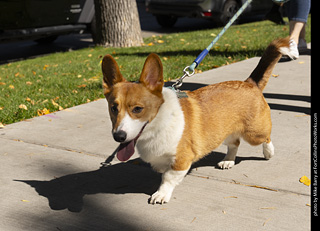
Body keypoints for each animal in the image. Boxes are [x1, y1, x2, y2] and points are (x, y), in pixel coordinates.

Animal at [101, 37, 292, 204]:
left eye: (137, 109)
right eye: (113, 108)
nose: (118, 137)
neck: (158, 123)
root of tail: (249, 83)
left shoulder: (182, 159)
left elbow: (168, 177)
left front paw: (161, 194)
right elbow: (161, 169)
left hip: (254, 133)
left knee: (265, 138)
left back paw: (268, 152)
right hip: (224, 131)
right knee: (234, 143)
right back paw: (228, 160)